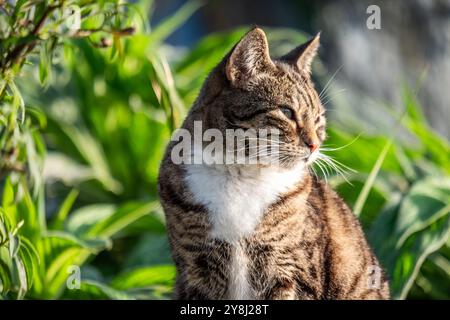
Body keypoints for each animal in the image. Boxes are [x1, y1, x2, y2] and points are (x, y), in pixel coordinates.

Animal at [159, 27, 390, 300]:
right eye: (287, 112)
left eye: (318, 119)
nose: (314, 145)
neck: (240, 173)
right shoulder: (195, 269)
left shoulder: (291, 270)